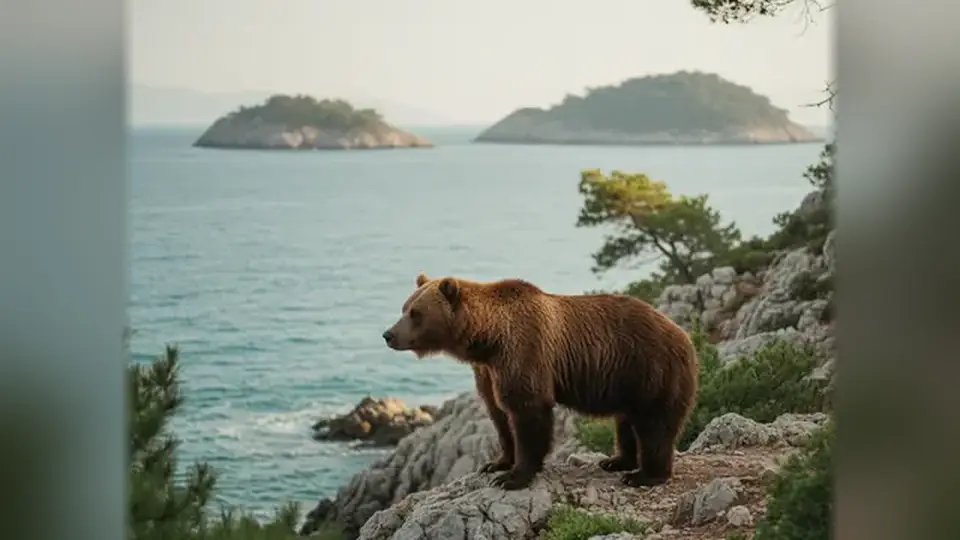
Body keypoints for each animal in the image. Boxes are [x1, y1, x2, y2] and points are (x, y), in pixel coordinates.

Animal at [381, 273, 699, 491]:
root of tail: (684, 334)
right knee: (626, 422)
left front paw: (514, 476)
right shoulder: (488, 372)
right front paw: (496, 463)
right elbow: (499, 415)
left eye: (416, 312)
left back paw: (644, 475)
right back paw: (616, 461)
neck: (488, 339)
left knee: (654, 425)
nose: (388, 334)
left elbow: (527, 411)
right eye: (404, 307)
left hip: (651, 369)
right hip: (627, 380)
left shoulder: (524, 351)